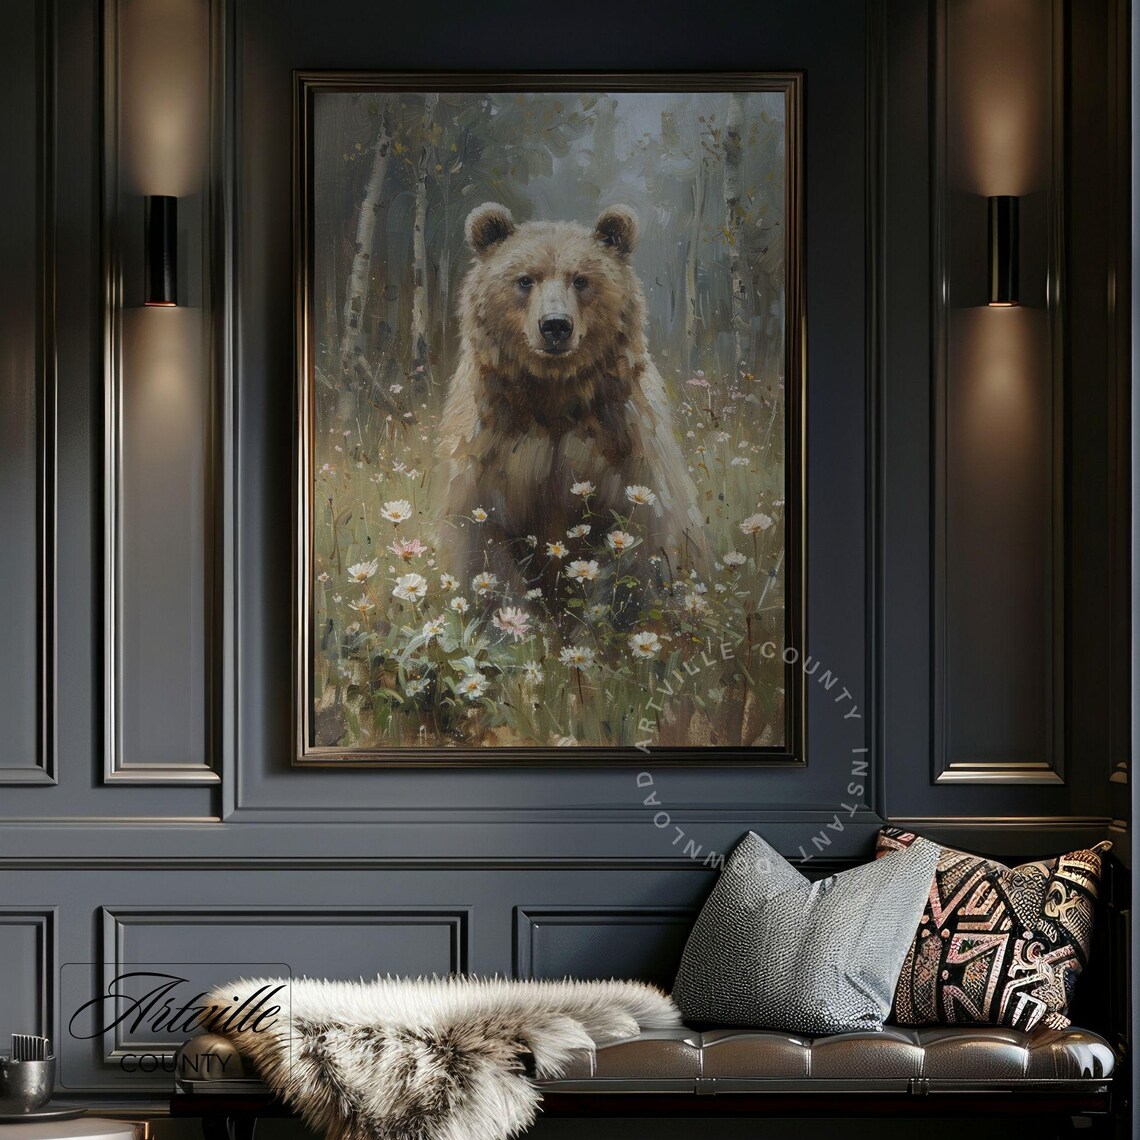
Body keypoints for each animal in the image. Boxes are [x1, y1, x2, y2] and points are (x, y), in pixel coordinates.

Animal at [438, 202, 705, 621]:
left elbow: (636, 542)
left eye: (581, 279)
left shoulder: (623, 441)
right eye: (525, 279)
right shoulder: (492, 445)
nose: (555, 326)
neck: (553, 394)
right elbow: (484, 546)